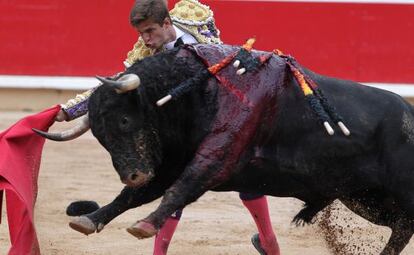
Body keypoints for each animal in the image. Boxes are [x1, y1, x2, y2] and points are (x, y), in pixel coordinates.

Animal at [50, 44, 414, 254]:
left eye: (124, 120)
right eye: (99, 136)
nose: (133, 174)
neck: (196, 91)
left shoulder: (215, 158)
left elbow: (181, 187)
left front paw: (144, 224)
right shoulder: (168, 164)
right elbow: (134, 196)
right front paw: (90, 219)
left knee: (404, 226)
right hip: (363, 198)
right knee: (400, 226)